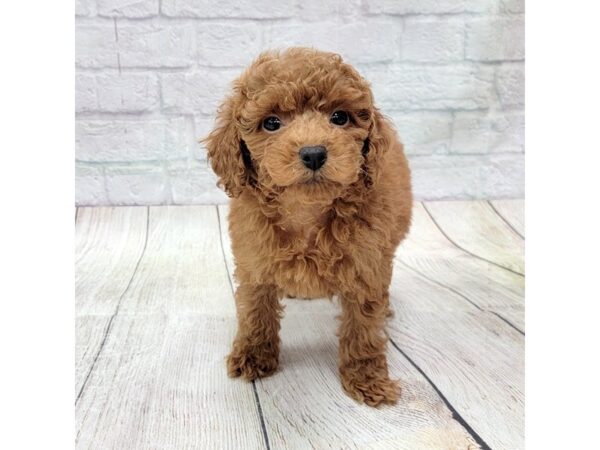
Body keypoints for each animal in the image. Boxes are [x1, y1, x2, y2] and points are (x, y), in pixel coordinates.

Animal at [206, 47, 412, 406]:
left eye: (340, 118)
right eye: (271, 123)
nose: (314, 153)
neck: (307, 213)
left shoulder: (367, 267)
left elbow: (363, 328)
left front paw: (367, 379)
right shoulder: (255, 262)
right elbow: (256, 312)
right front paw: (253, 356)